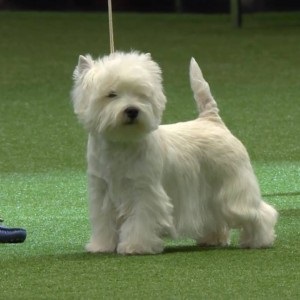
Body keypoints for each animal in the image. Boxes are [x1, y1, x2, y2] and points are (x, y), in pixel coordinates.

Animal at [71, 50, 278, 254]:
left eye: (141, 94)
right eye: (111, 94)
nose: (132, 110)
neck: (121, 143)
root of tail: (212, 121)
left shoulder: (144, 190)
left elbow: (140, 220)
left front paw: (135, 246)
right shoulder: (101, 190)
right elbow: (103, 222)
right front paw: (101, 245)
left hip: (232, 187)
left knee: (259, 212)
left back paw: (258, 241)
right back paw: (213, 239)